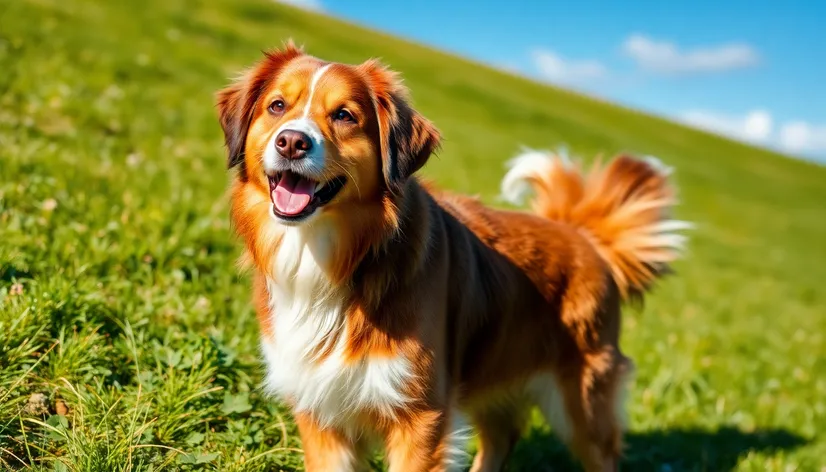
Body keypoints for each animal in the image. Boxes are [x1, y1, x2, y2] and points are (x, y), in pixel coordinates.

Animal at [216, 41, 684, 472]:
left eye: (344, 116)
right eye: (277, 106)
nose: (291, 142)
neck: (332, 259)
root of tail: (583, 236)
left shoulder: (422, 417)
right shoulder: (321, 412)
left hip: (584, 404)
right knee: (501, 437)